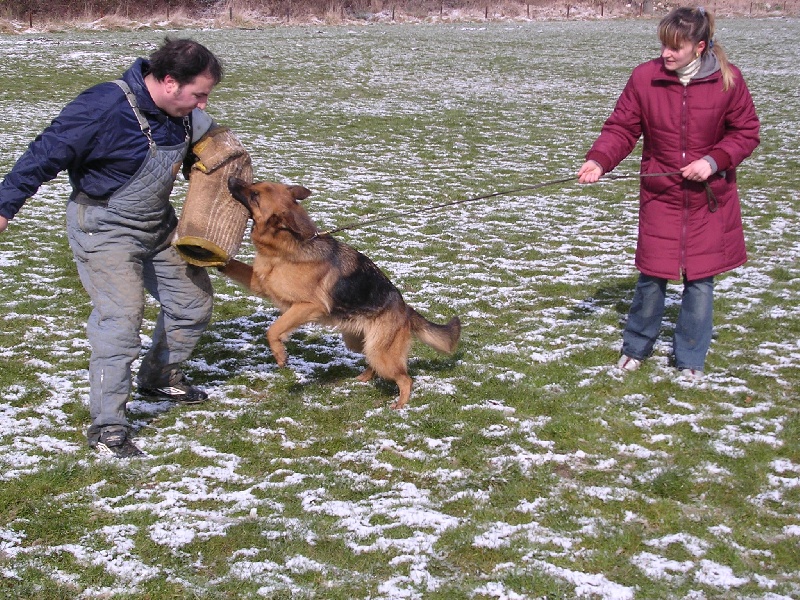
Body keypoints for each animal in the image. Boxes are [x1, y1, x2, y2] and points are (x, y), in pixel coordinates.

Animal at [219, 177, 461, 408]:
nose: (231, 179)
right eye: (255, 185)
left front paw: (280, 355)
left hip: (381, 354)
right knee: (373, 364)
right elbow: (234, 267)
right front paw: (214, 257)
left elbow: (273, 329)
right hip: (358, 343)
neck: (288, 244)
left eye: (254, 195)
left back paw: (400, 404)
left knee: (406, 378)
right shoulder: (261, 284)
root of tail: (405, 308)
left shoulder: (309, 306)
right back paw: (364, 378)